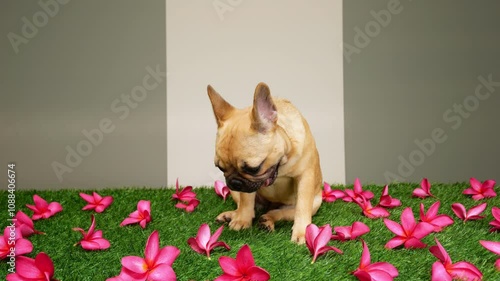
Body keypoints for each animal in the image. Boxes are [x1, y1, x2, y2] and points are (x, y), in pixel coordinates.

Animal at [207, 81, 324, 243]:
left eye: (253, 169)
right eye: (220, 168)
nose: (234, 182)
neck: (282, 164)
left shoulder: (305, 178)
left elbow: (302, 207)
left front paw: (302, 232)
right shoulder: (247, 188)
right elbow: (246, 201)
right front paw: (242, 220)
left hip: (314, 203)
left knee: (279, 213)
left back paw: (267, 221)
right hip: (235, 193)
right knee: (246, 206)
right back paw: (232, 215)